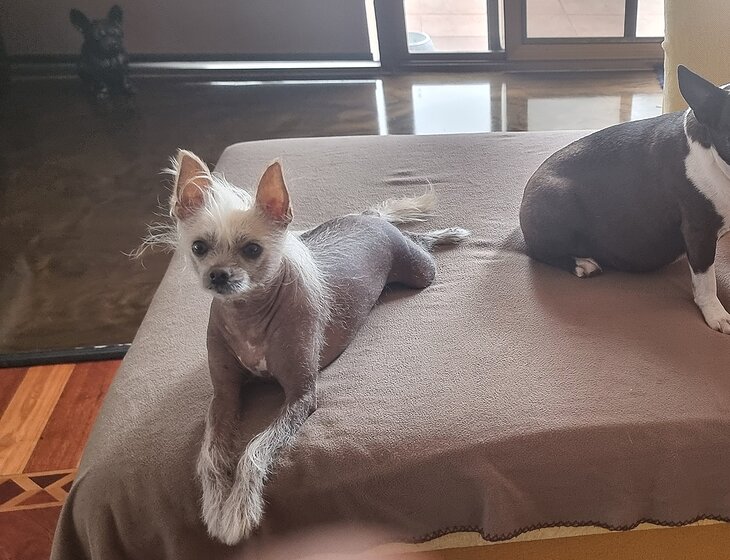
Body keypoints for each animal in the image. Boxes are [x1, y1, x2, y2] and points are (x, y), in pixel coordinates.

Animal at [151, 150, 469, 544]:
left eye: (252, 249)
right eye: (199, 247)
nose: (218, 275)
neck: (249, 315)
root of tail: (367, 217)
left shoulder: (301, 396)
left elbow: (254, 448)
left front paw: (239, 506)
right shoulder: (224, 397)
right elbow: (209, 456)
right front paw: (214, 503)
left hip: (421, 271)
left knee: (420, 241)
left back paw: (447, 234)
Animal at [520, 65, 730, 334]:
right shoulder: (699, 232)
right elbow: (706, 280)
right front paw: (716, 313)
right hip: (555, 202)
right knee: (542, 252)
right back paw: (581, 263)